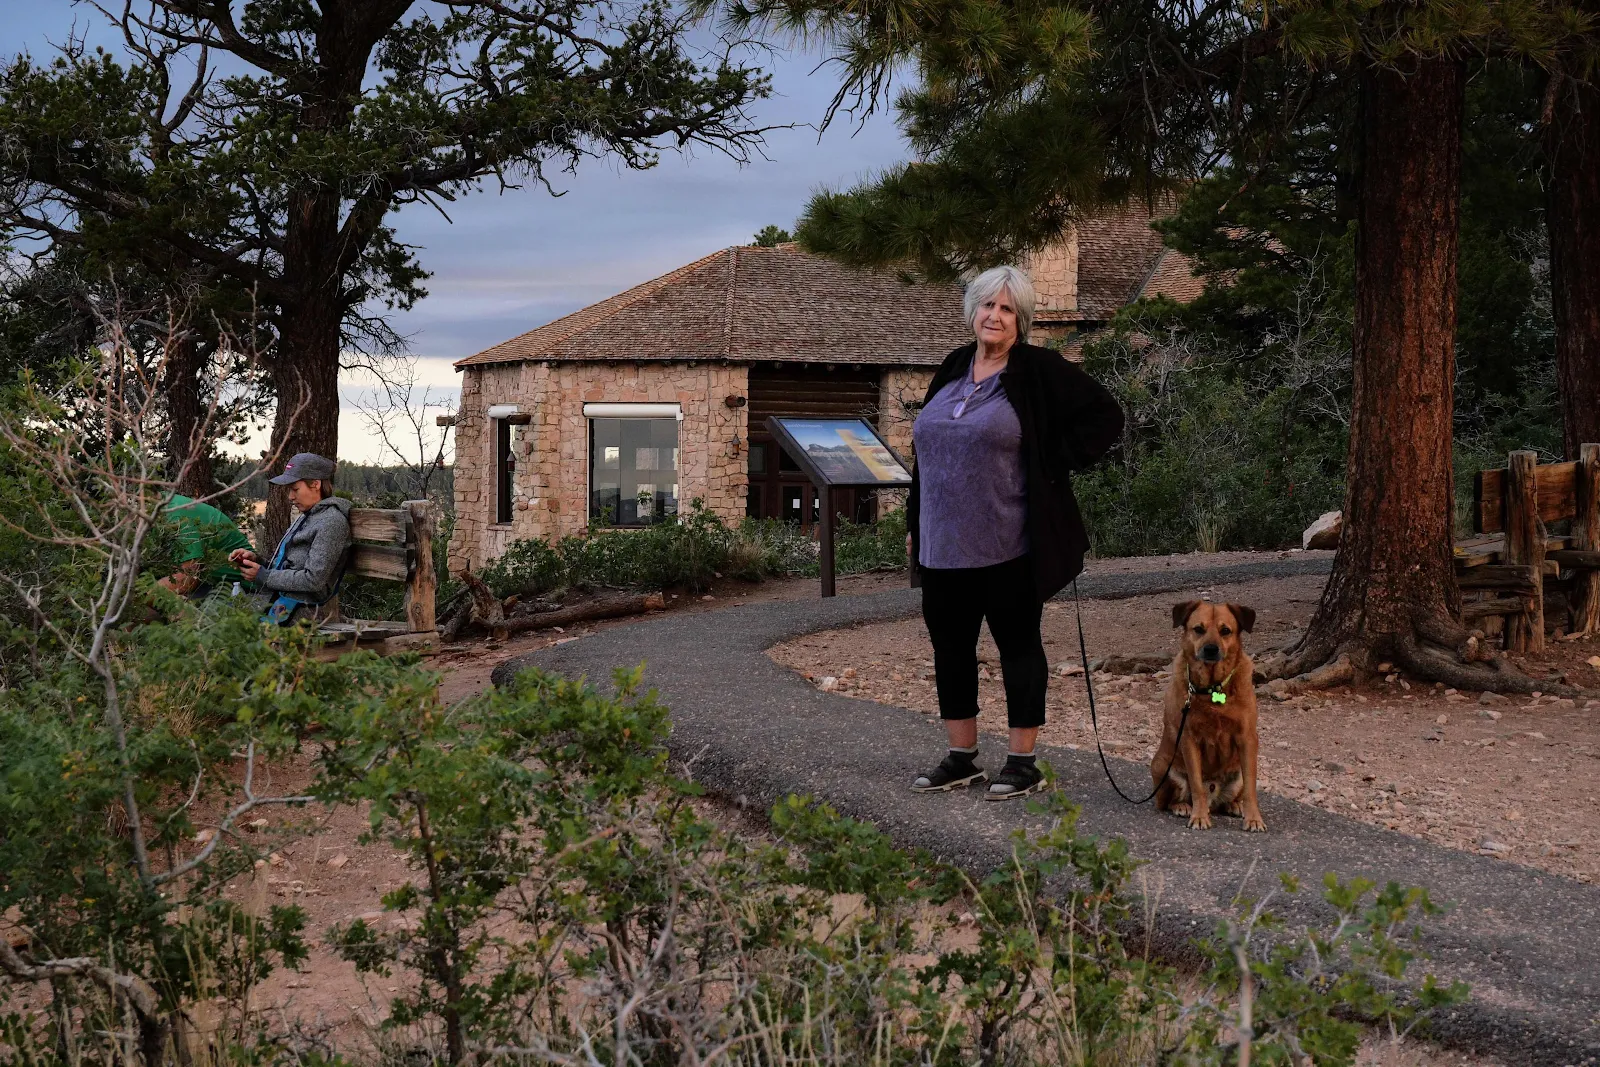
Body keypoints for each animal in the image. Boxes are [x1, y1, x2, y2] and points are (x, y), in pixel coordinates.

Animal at [1150, 601, 1265, 832]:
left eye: (1225, 631)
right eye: (1198, 629)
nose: (1211, 649)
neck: (1213, 689)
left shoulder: (1247, 738)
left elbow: (1251, 788)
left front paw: (1253, 818)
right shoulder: (1188, 739)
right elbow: (1196, 786)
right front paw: (1199, 816)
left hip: (1236, 774)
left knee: (1230, 798)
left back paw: (1234, 805)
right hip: (1162, 767)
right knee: (1167, 801)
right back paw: (1183, 806)